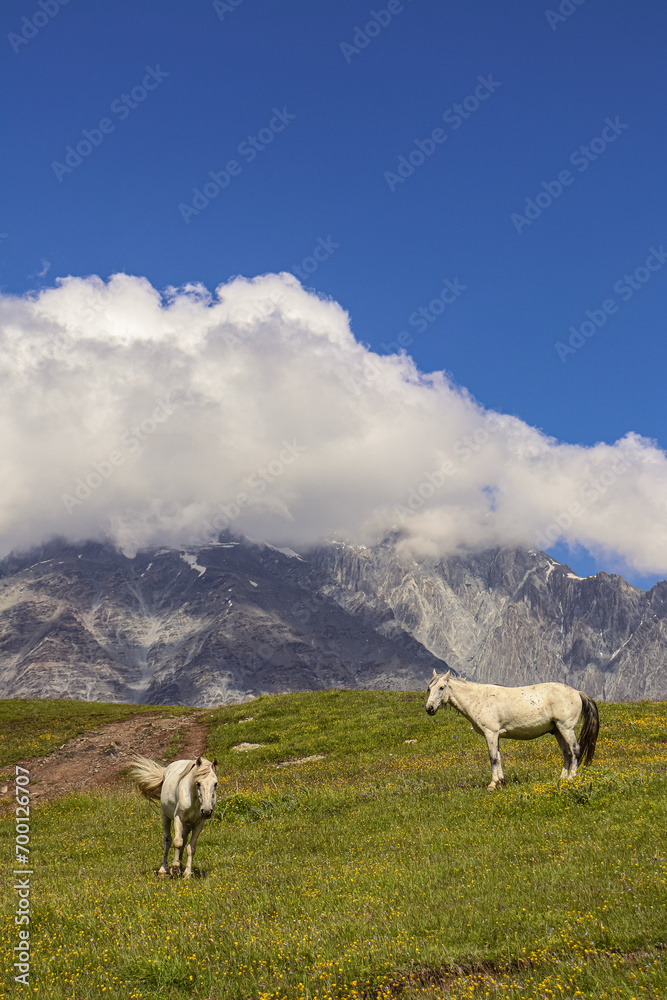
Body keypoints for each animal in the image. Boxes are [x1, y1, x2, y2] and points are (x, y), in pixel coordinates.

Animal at [425, 670, 599, 791]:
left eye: (441, 688)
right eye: (429, 688)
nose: (429, 709)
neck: (479, 698)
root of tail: (577, 692)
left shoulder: (490, 733)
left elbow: (493, 758)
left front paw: (492, 784)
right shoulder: (496, 735)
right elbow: (498, 757)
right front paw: (501, 782)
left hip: (566, 728)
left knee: (575, 750)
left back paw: (571, 778)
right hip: (557, 730)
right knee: (567, 753)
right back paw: (562, 779)